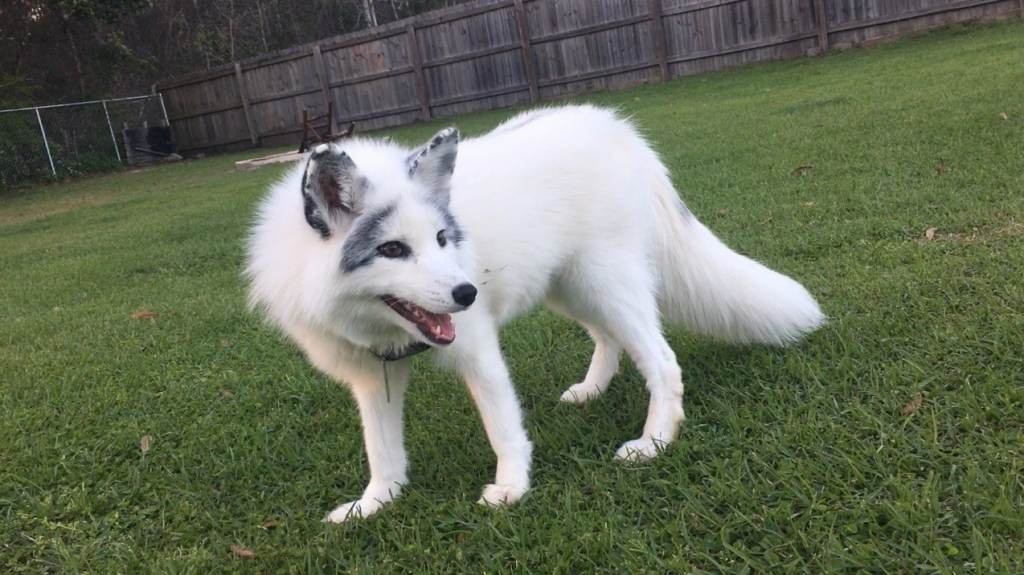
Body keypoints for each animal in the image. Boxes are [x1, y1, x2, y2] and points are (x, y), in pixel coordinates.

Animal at [245, 104, 824, 522]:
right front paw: (375, 503)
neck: (381, 327)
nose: (466, 293)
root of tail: (619, 130)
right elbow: (382, 451)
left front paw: (511, 489)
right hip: (571, 288)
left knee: (662, 361)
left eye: (441, 239)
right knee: (609, 338)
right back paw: (591, 390)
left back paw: (654, 443)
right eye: (392, 250)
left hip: (606, 281)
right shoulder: (373, 377)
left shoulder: (477, 350)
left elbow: (503, 428)